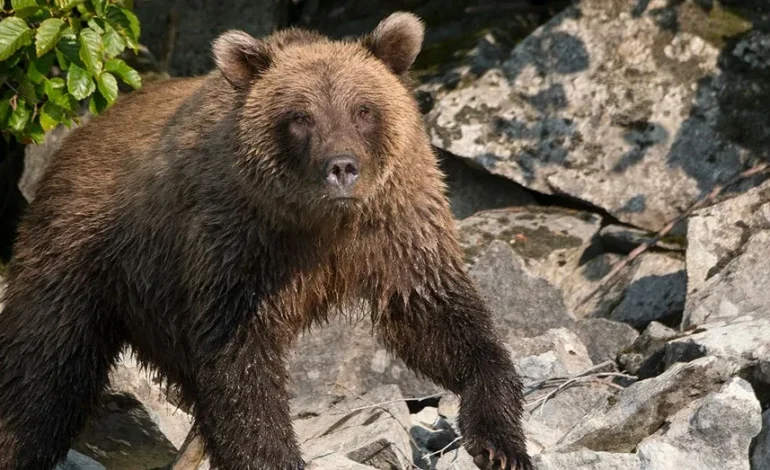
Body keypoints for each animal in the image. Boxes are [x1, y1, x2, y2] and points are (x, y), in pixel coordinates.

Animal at [0, 12, 532, 470]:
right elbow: (241, 367)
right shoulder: (239, 244)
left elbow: (436, 317)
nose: (342, 167)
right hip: (85, 251)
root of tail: (82, 134)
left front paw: (499, 444)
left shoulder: (395, 227)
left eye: (363, 109)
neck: (322, 223)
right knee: (45, 371)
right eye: (300, 116)